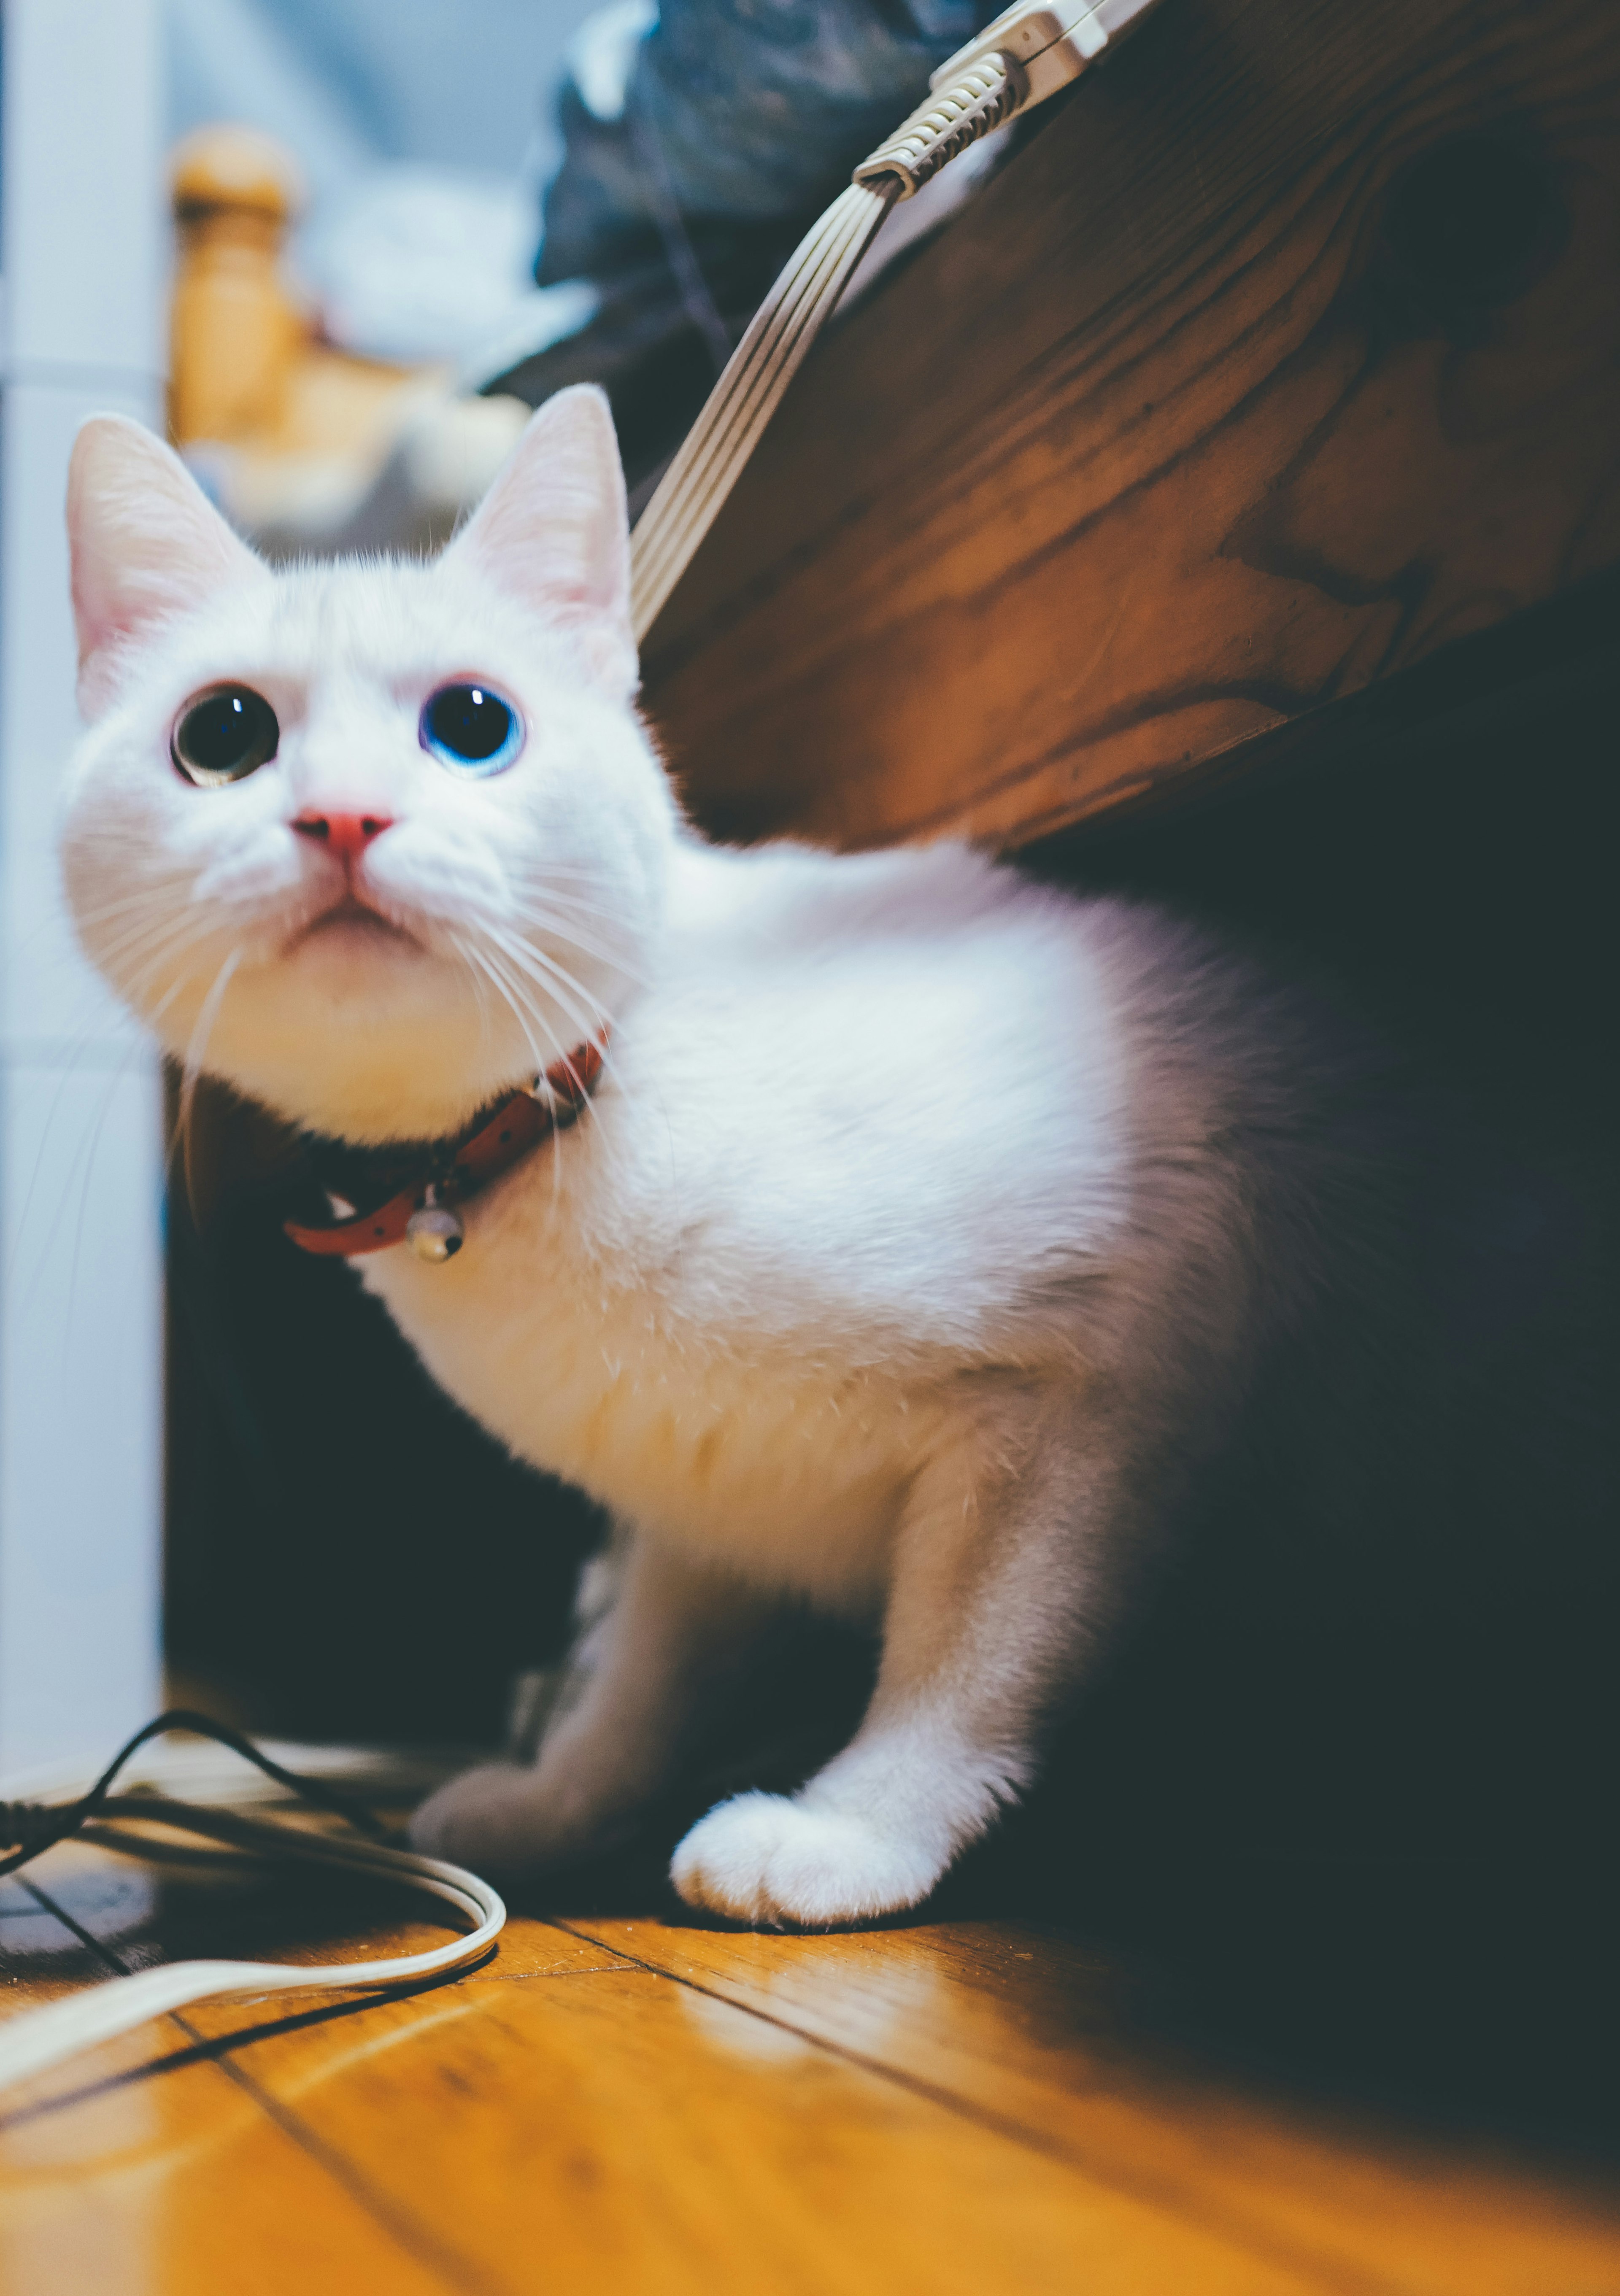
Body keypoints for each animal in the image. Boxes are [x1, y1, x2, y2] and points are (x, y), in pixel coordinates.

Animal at [57, 390, 1406, 1919]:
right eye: (223, 734)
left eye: (474, 724)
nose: (342, 815)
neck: (544, 1139)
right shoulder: (700, 1501)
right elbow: (640, 1684)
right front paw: (557, 1799)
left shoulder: (1087, 1394)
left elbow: (964, 1662)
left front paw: (854, 1829)